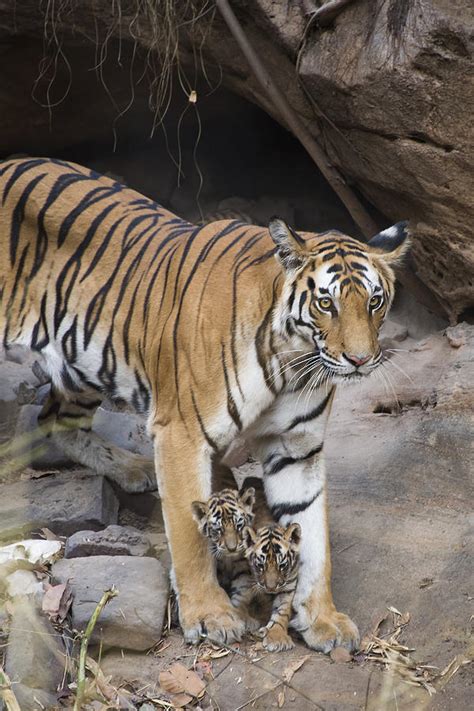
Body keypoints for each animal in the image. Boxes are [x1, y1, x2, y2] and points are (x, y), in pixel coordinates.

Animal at [0, 159, 410, 652]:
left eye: (375, 301)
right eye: (326, 302)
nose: (361, 360)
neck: (291, 361)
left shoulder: (297, 447)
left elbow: (313, 536)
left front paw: (322, 618)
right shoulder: (181, 434)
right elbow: (189, 534)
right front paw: (210, 616)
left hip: (83, 362)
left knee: (55, 419)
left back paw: (132, 469)